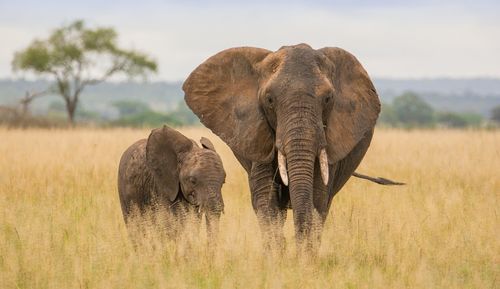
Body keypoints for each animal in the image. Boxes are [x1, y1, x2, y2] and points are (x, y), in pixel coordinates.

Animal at [183, 42, 378, 252]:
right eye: (269, 100)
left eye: (327, 99)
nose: (295, 245)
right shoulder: (257, 135)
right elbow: (265, 198)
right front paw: (278, 255)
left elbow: (318, 197)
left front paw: (305, 256)